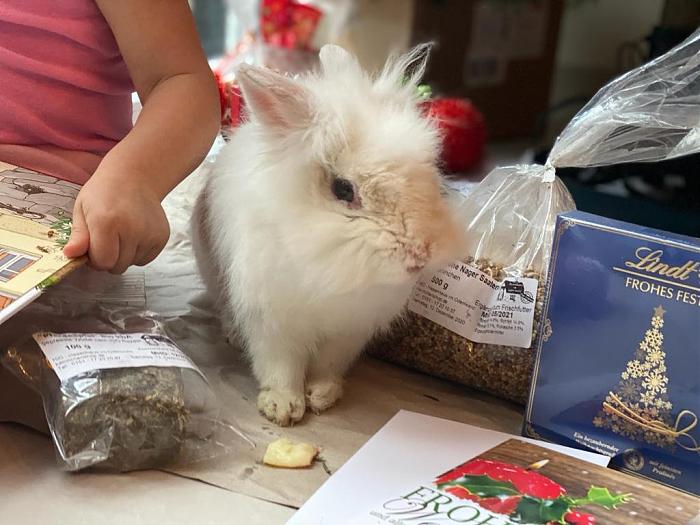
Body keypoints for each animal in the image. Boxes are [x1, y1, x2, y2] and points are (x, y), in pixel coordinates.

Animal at [192, 44, 465, 426]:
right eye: (343, 189)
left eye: (431, 178)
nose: (419, 255)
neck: (330, 273)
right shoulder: (273, 322)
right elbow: (280, 367)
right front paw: (283, 407)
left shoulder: (350, 328)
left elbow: (328, 365)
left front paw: (322, 395)